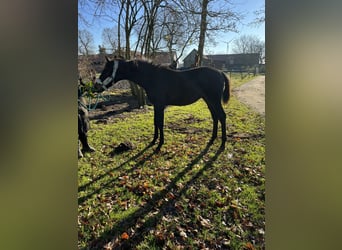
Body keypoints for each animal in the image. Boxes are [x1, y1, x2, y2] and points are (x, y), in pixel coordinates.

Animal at [93, 57, 230, 150]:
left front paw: (160, 144)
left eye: (107, 70)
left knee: (222, 116)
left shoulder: (160, 105)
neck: (153, 77)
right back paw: (212, 139)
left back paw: (223, 143)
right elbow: (155, 122)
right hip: (208, 100)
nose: (96, 86)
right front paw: (154, 141)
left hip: (214, 100)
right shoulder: (156, 106)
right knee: (215, 117)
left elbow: (160, 123)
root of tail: (220, 72)